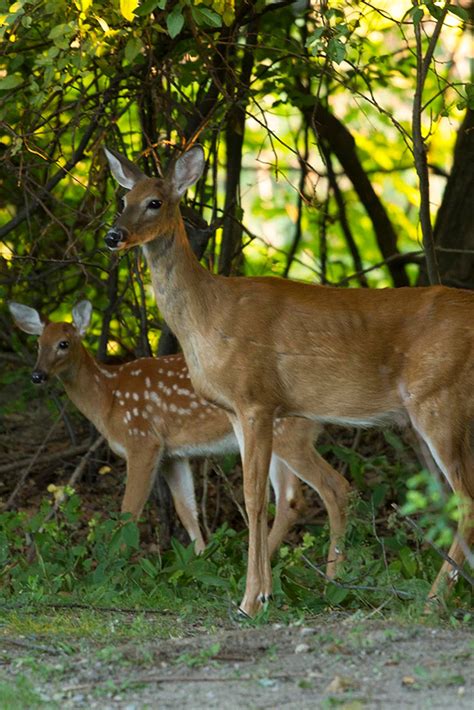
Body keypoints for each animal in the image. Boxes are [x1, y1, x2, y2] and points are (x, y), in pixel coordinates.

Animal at [6, 300, 348, 568]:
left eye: (63, 343)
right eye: (38, 344)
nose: (37, 375)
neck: (108, 397)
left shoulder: (142, 440)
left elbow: (129, 511)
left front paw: (114, 564)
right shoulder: (174, 453)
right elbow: (186, 509)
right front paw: (201, 560)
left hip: (290, 436)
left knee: (331, 487)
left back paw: (332, 571)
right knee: (291, 499)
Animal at [104, 145, 474, 616]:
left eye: (155, 201)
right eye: (123, 199)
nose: (113, 236)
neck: (209, 314)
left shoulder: (256, 399)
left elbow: (254, 498)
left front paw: (251, 601)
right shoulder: (236, 411)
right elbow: (255, 500)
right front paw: (260, 594)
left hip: (440, 400)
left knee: (465, 499)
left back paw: (431, 600)